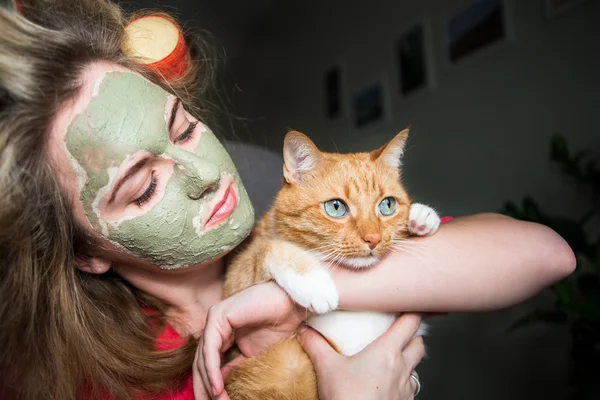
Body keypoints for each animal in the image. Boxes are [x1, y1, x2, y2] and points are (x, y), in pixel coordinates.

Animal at [223, 128, 438, 400]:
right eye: (336, 207)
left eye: (387, 205)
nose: (373, 239)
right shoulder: (232, 282)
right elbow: (268, 248)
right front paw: (313, 283)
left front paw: (420, 217)